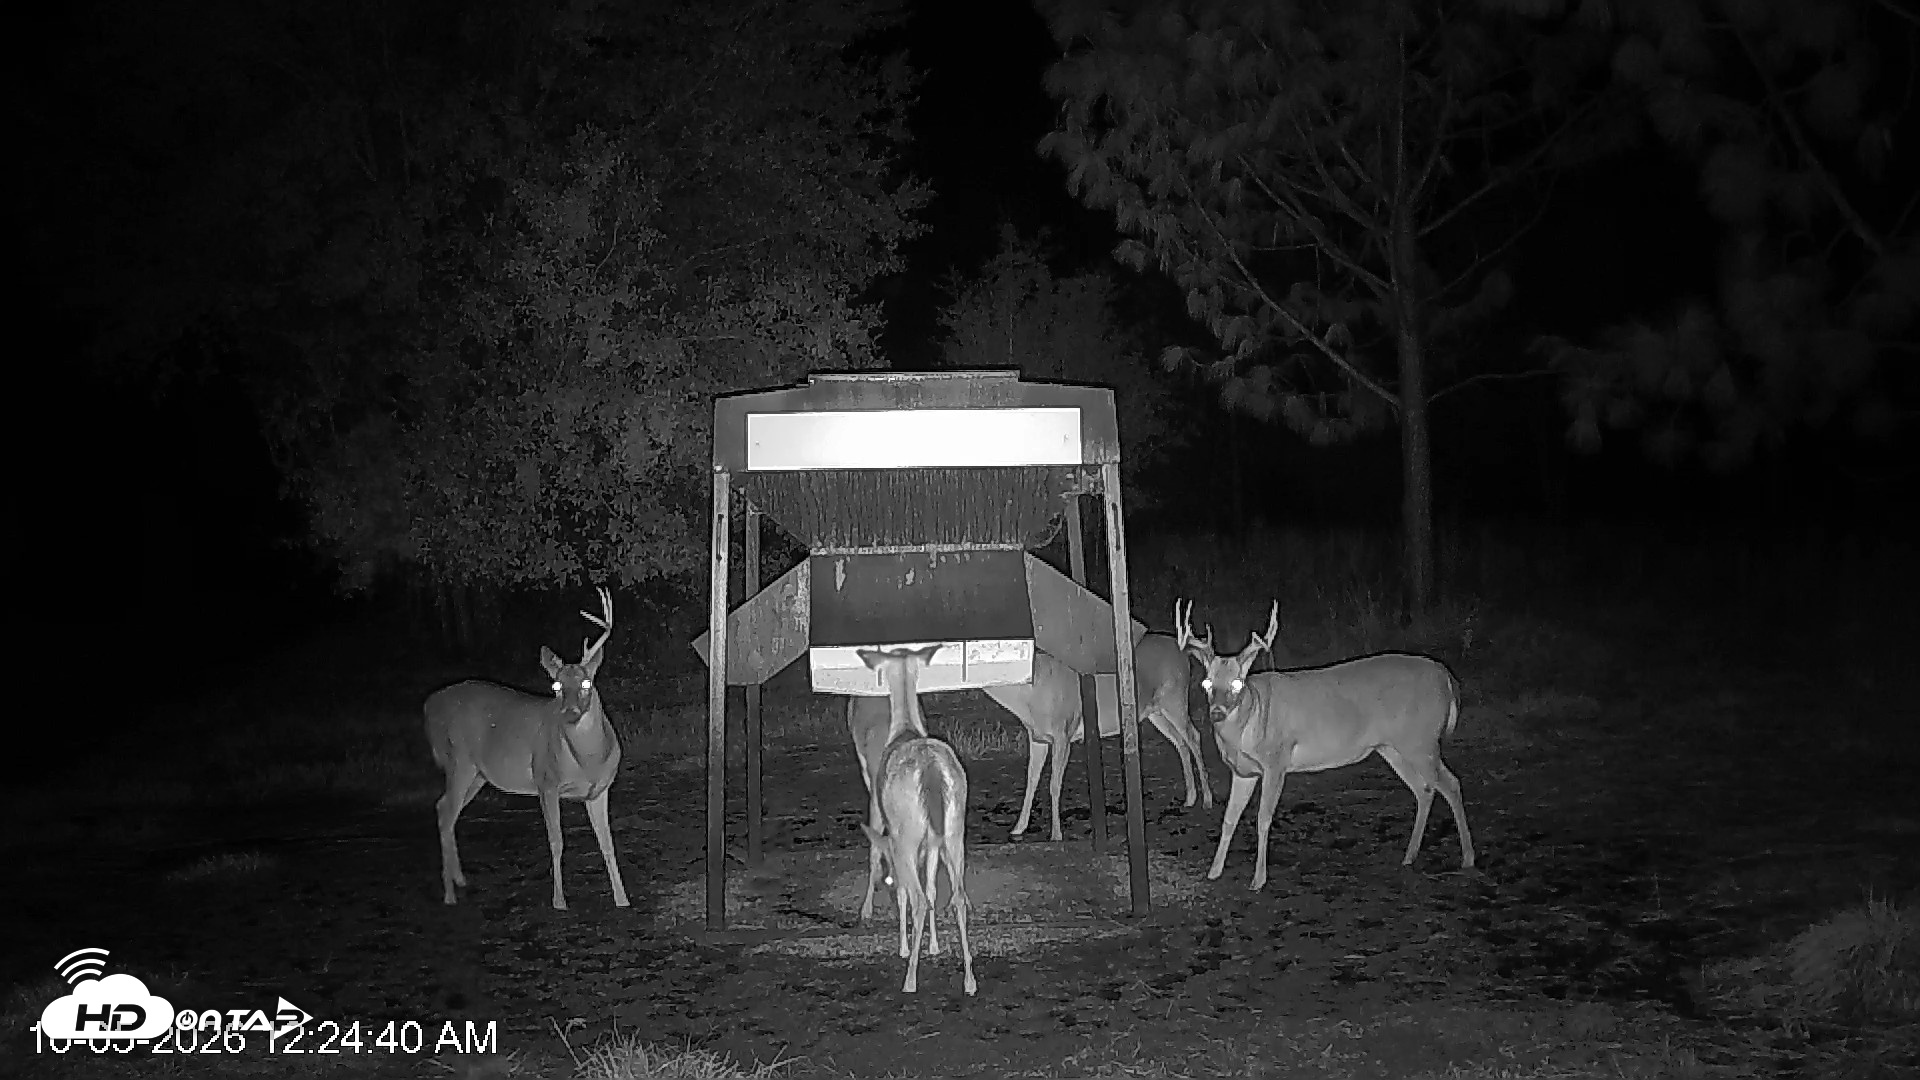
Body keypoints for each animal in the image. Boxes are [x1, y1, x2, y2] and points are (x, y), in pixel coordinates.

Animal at [423, 587, 629, 911]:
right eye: (556, 686)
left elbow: (607, 844)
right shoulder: (546, 781)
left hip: (479, 774)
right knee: (444, 810)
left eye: (586, 683)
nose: (569, 712)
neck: (588, 761)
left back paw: (459, 880)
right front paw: (559, 901)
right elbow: (556, 841)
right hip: (458, 760)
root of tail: (428, 706)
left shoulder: (599, 790)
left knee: (446, 809)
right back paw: (449, 894)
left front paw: (622, 899)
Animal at [855, 645, 978, 995]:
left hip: (907, 833)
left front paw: (905, 948)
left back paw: (910, 979)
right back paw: (970, 980)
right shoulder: (934, 841)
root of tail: (932, 773)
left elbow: (904, 890)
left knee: (919, 898)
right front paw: (934, 946)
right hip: (955, 830)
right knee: (958, 897)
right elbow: (934, 887)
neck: (904, 729)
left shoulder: (895, 837)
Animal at [987, 629, 1213, 843]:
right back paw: (1190, 798)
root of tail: (1182, 650)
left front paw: (1056, 834)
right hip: (1155, 710)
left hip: (1175, 698)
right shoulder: (1038, 737)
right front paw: (1018, 828)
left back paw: (1208, 800)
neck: (1030, 699)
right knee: (1180, 742)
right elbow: (1031, 780)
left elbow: (1054, 785)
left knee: (1194, 736)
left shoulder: (1063, 732)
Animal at [1175, 598, 1476, 891]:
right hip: (1394, 747)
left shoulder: (1276, 761)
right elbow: (1229, 818)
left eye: (1237, 683)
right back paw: (1410, 856)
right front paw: (1214, 872)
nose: (1216, 713)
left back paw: (1467, 858)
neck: (1251, 719)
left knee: (1451, 783)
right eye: (1206, 683)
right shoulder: (1243, 771)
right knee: (1424, 789)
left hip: (1421, 741)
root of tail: (1447, 677)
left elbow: (1263, 818)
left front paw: (1258, 880)